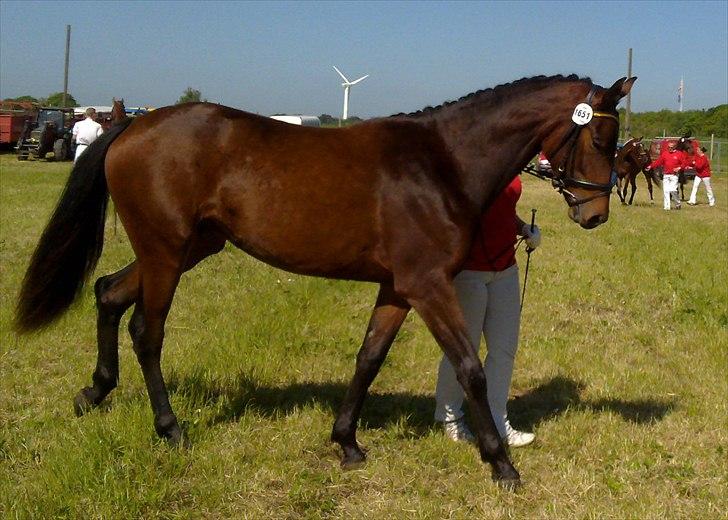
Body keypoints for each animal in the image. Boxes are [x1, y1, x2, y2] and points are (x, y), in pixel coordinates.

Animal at [14, 74, 636, 492]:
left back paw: (93, 392)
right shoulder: (429, 287)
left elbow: (369, 358)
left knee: (108, 294)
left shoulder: (398, 289)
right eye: (601, 141)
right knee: (147, 329)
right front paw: (502, 463)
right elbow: (471, 370)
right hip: (166, 252)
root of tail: (133, 125)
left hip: (185, 248)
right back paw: (169, 428)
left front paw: (347, 443)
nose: (595, 214)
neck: (441, 163)